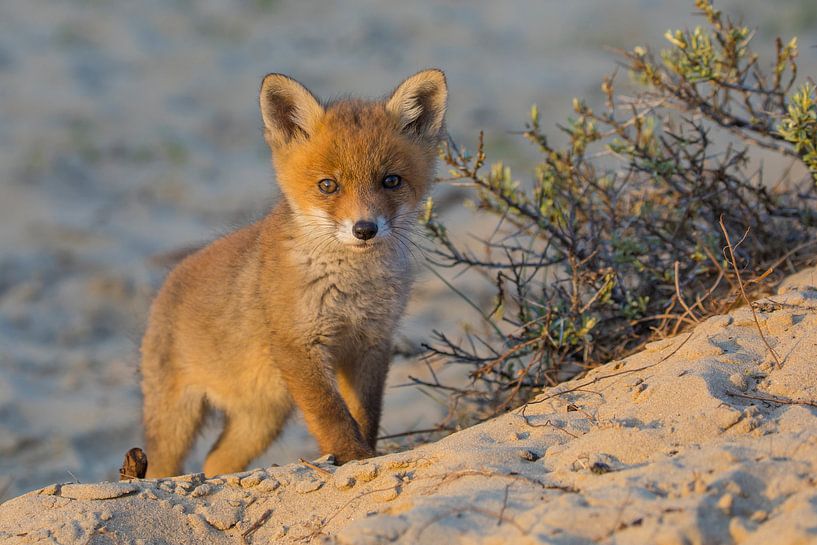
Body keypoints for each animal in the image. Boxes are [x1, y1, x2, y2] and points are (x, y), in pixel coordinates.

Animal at [139, 69, 448, 478]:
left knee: (215, 461)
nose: (364, 229)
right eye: (328, 185)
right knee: (164, 468)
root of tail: (169, 280)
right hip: (177, 420)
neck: (352, 288)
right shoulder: (298, 346)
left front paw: (366, 456)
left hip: (261, 420)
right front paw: (352, 458)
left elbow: (364, 414)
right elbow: (331, 414)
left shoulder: (371, 343)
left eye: (391, 181)